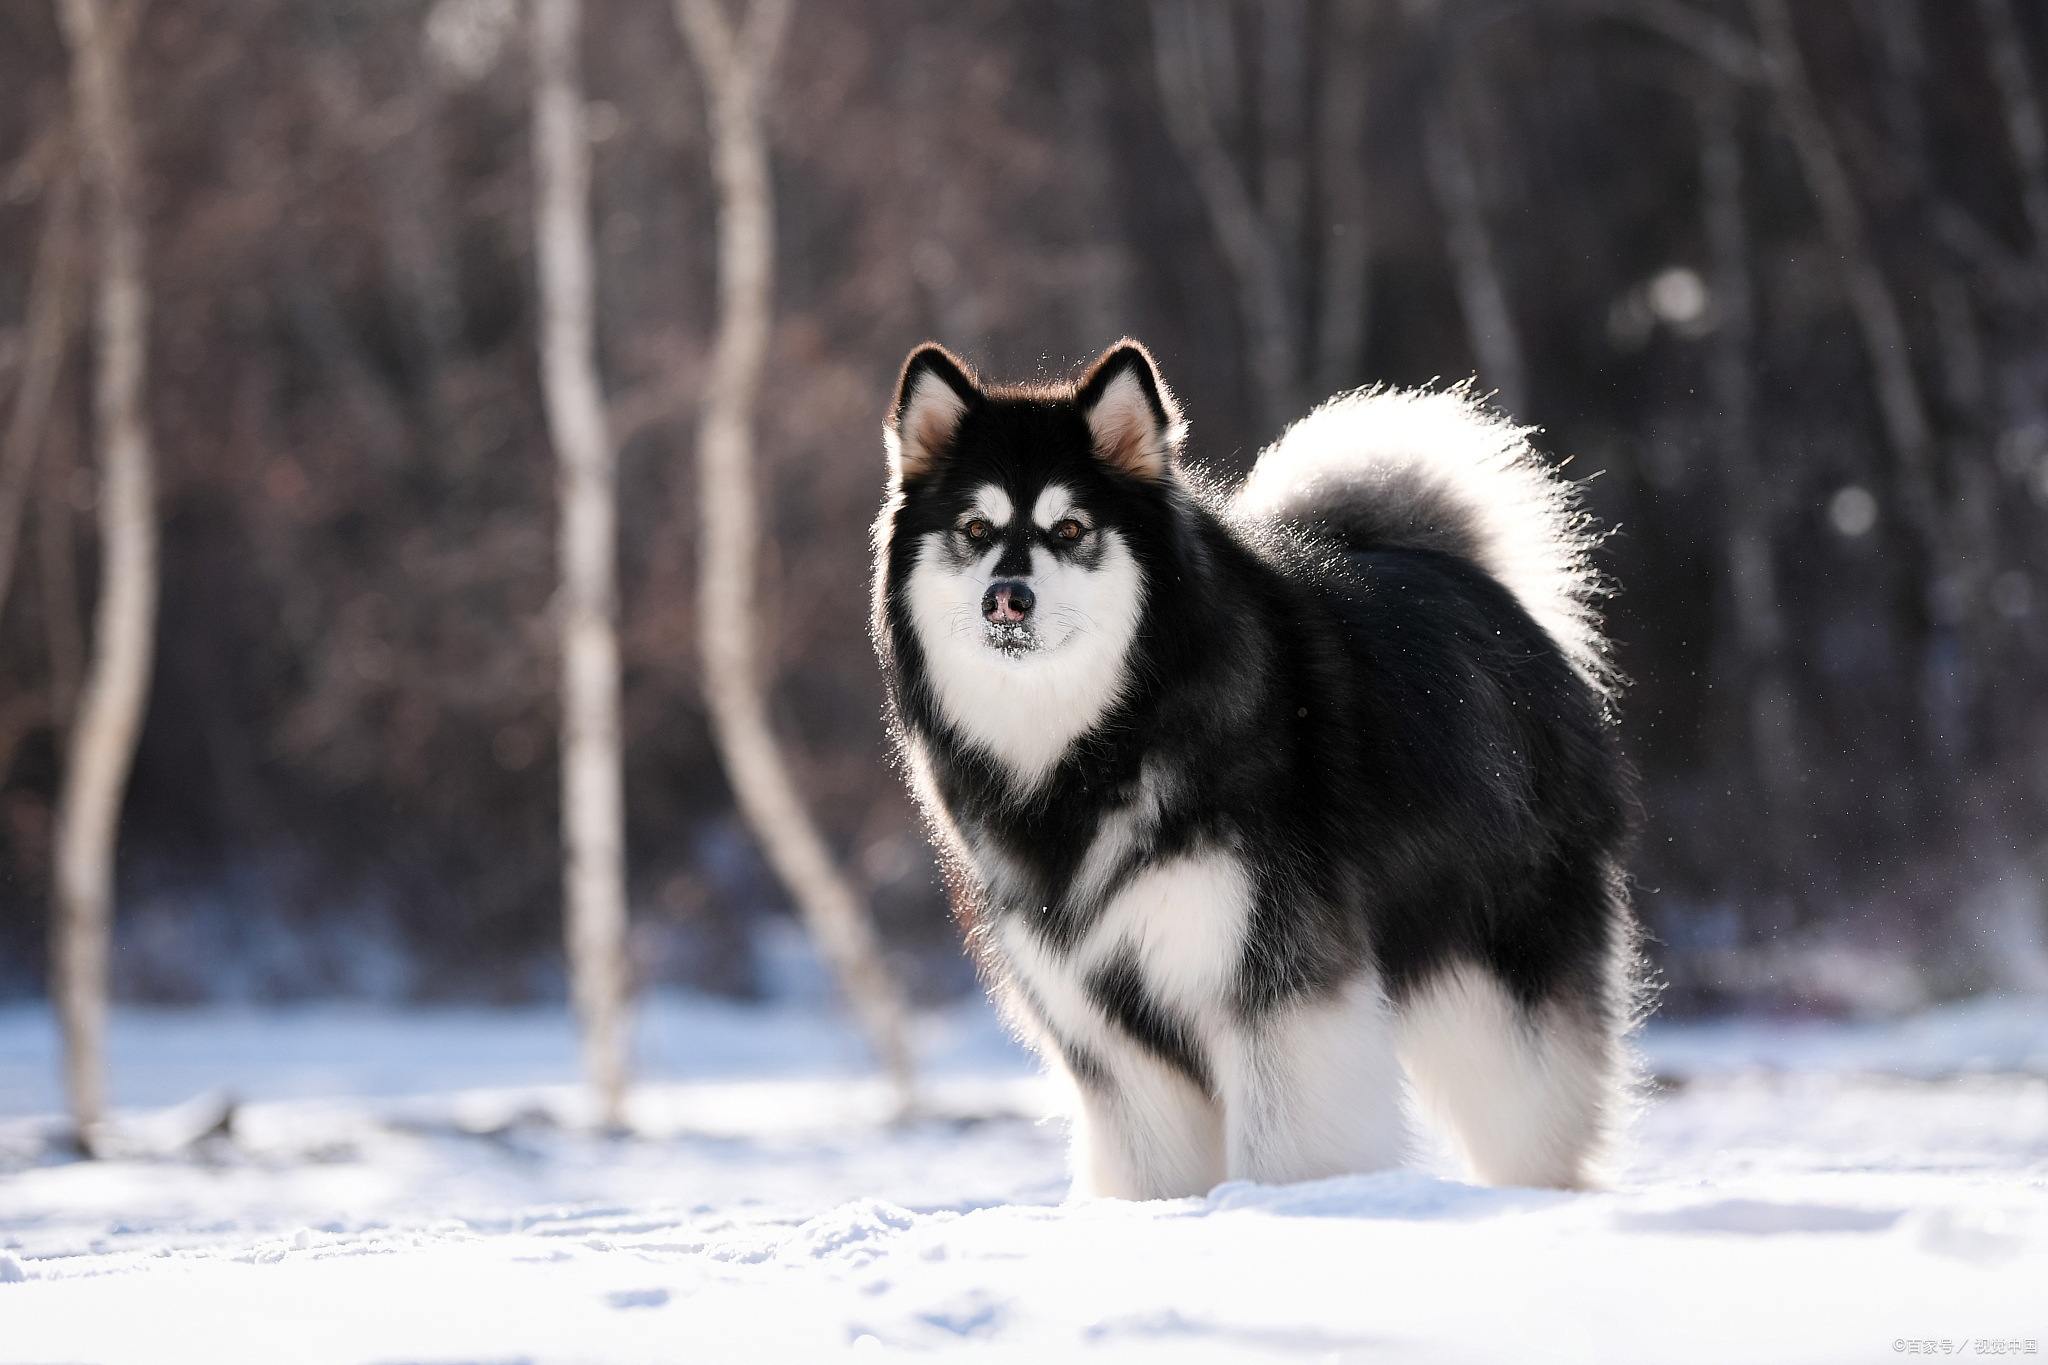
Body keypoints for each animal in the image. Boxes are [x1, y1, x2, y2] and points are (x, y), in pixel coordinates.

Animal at [872, 339, 1638, 1195]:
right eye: (975, 527)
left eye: (1070, 527)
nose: (1007, 598)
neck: (1094, 747)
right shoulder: (1109, 1029)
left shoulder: (1275, 984)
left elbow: (1284, 1149)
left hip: (1498, 982)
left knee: (1533, 1120)